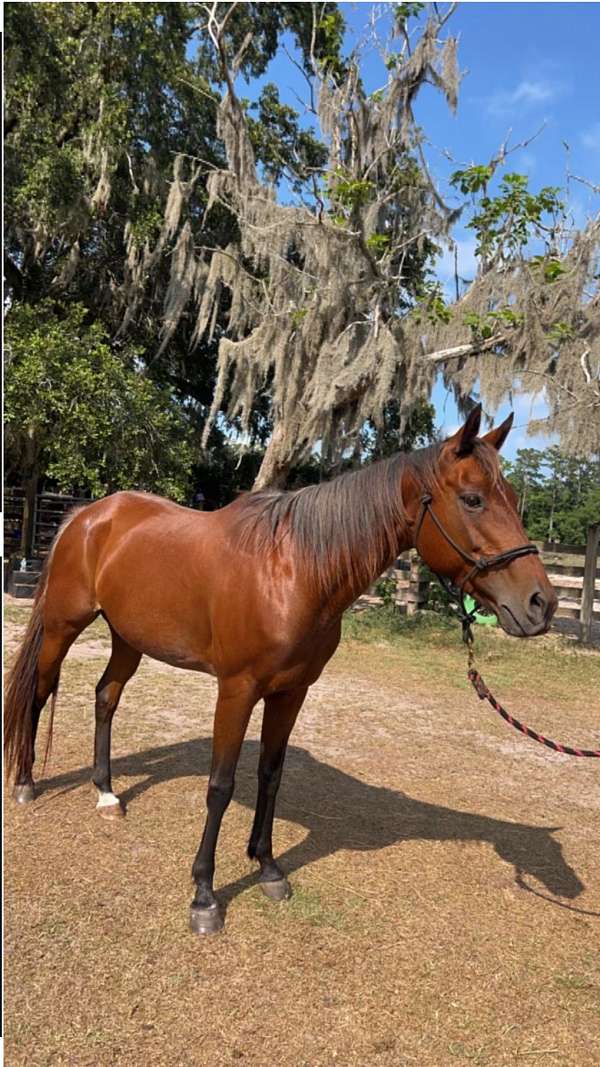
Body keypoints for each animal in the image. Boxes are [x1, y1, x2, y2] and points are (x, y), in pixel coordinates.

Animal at [5, 405, 555, 934]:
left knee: (106, 697)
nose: (541, 605)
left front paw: (267, 867)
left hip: (127, 638)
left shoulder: (292, 692)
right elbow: (221, 786)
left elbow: (270, 775)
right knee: (40, 691)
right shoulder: (236, 690)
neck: (294, 571)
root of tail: (89, 514)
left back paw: (105, 793)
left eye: (511, 497)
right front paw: (204, 895)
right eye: (473, 500)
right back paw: (27, 783)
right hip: (63, 626)